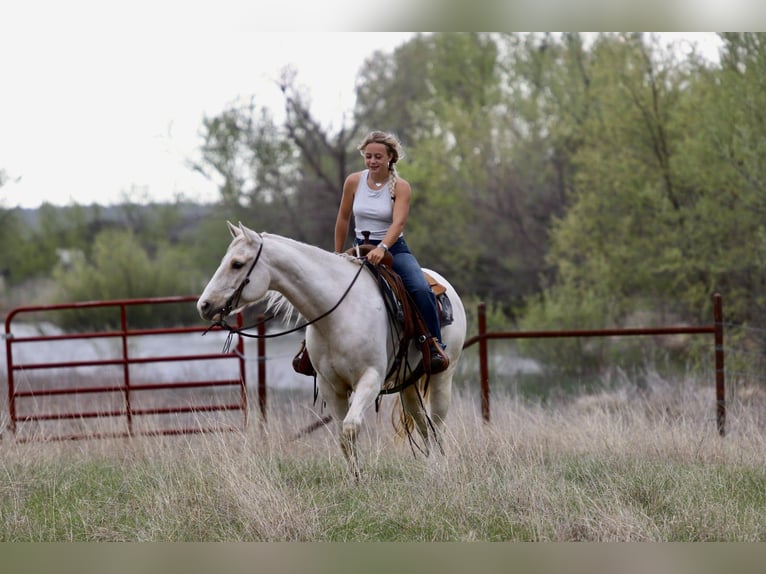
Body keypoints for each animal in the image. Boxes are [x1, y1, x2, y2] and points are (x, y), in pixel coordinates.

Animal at [197, 222, 466, 476]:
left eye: (237, 264)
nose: (204, 305)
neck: (338, 313)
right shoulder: (331, 386)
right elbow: (342, 437)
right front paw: (356, 480)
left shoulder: (371, 379)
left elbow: (350, 427)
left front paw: (360, 479)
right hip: (408, 383)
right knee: (422, 423)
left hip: (443, 377)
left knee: (437, 424)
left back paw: (439, 470)